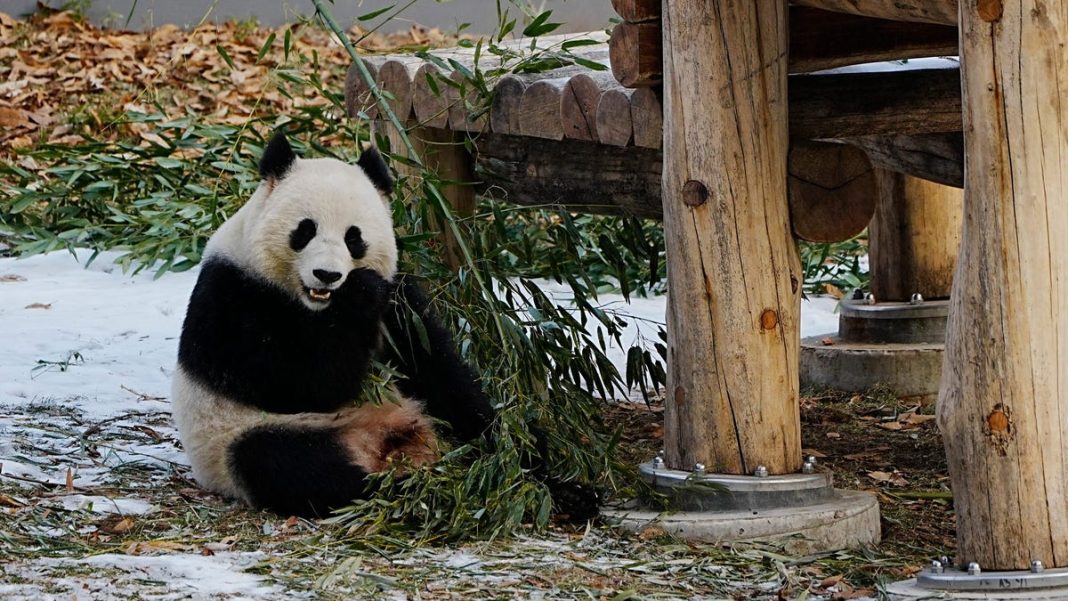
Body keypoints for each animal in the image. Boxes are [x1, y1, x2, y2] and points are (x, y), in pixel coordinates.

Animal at [170, 132, 598, 523]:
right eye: (304, 230)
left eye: (353, 237)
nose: (327, 275)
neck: (318, 306)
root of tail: (386, 440)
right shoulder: (234, 295)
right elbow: (299, 382)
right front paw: (358, 296)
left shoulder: (401, 303)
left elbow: (440, 371)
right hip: (242, 435)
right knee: (285, 463)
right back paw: (421, 493)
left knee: (480, 429)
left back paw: (548, 487)